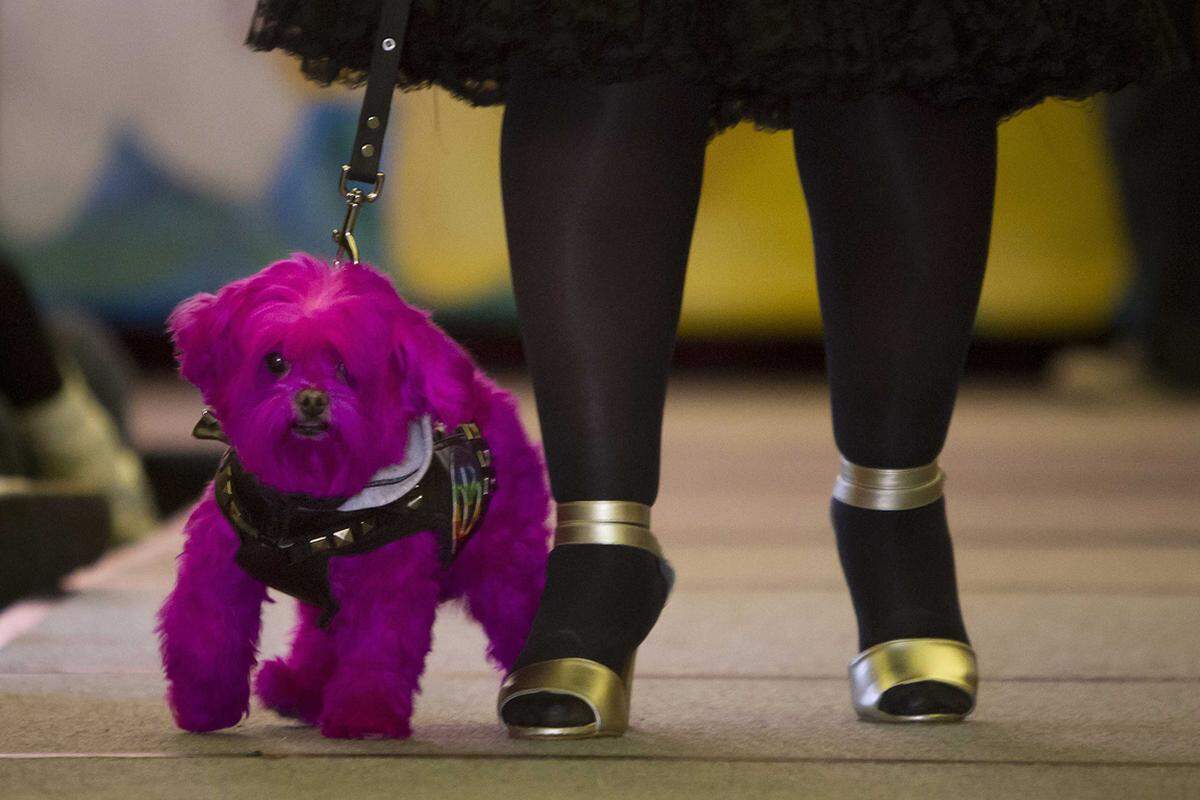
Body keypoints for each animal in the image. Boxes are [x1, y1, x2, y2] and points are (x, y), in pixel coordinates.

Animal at [154, 255, 552, 738]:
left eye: (346, 369)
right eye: (275, 361)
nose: (311, 399)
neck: (304, 501)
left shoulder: (385, 583)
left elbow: (376, 649)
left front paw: (366, 714)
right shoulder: (217, 568)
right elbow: (206, 634)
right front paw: (203, 704)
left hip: (503, 564)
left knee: (520, 608)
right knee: (317, 637)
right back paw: (297, 689)